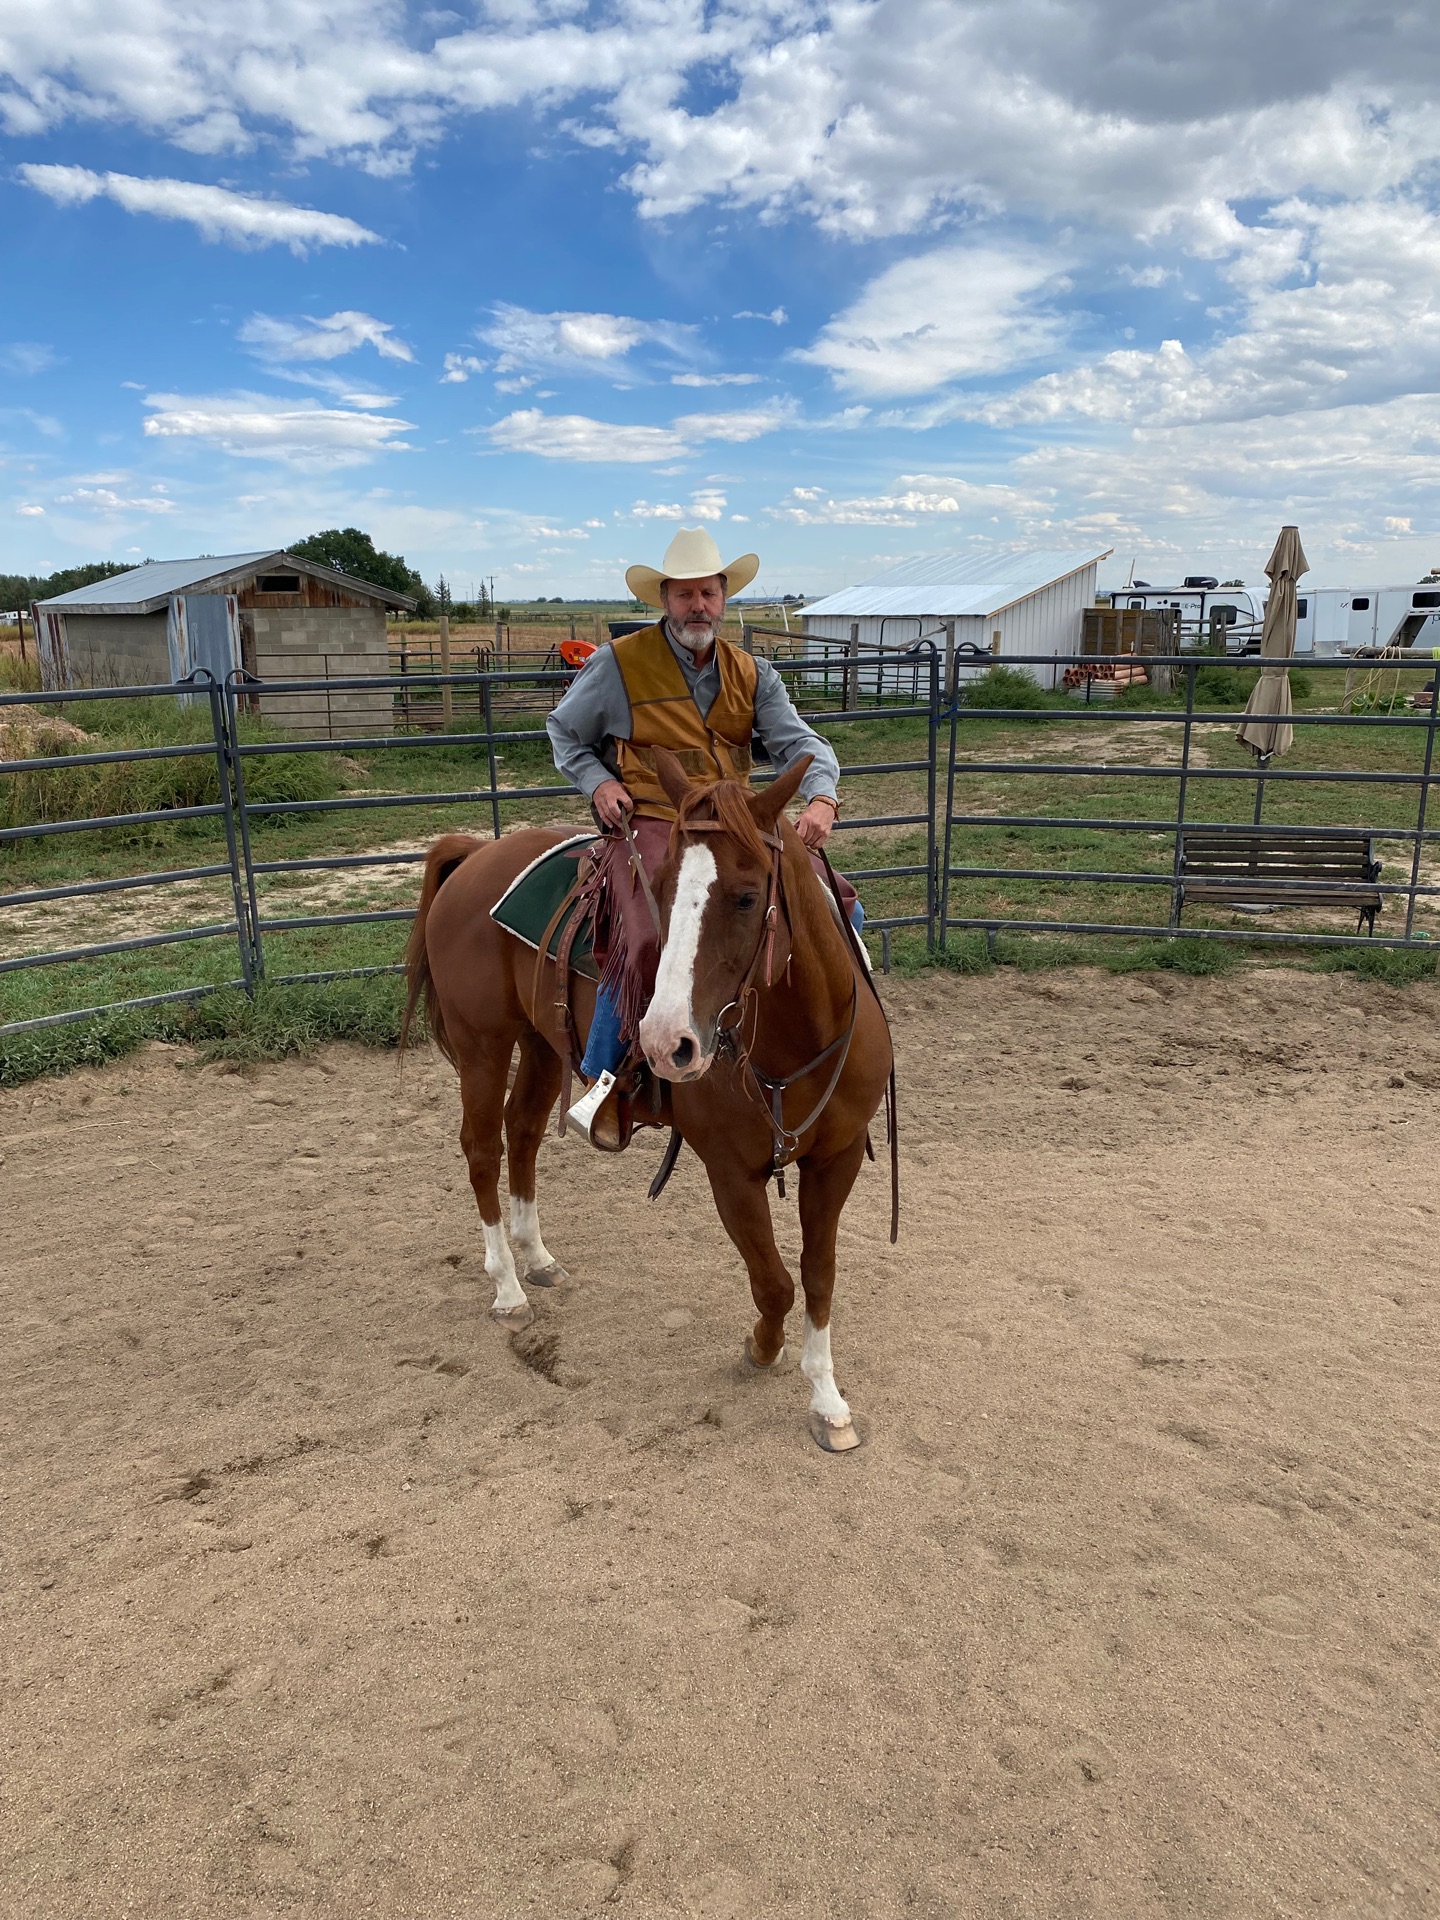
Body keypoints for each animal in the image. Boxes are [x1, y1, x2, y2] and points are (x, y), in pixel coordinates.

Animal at [401, 746, 895, 1452]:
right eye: (657, 892)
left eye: (747, 897)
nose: (666, 1043)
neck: (795, 1040)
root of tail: (475, 854)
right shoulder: (730, 1173)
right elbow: (774, 1282)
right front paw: (761, 1350)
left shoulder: (839, 1159)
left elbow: (818, 1276)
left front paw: (828, 1404)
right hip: (483, 1047)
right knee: (481, 1149)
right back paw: (508, 1288)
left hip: (541, 1045)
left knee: (521, 1133)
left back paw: (539, 1259)